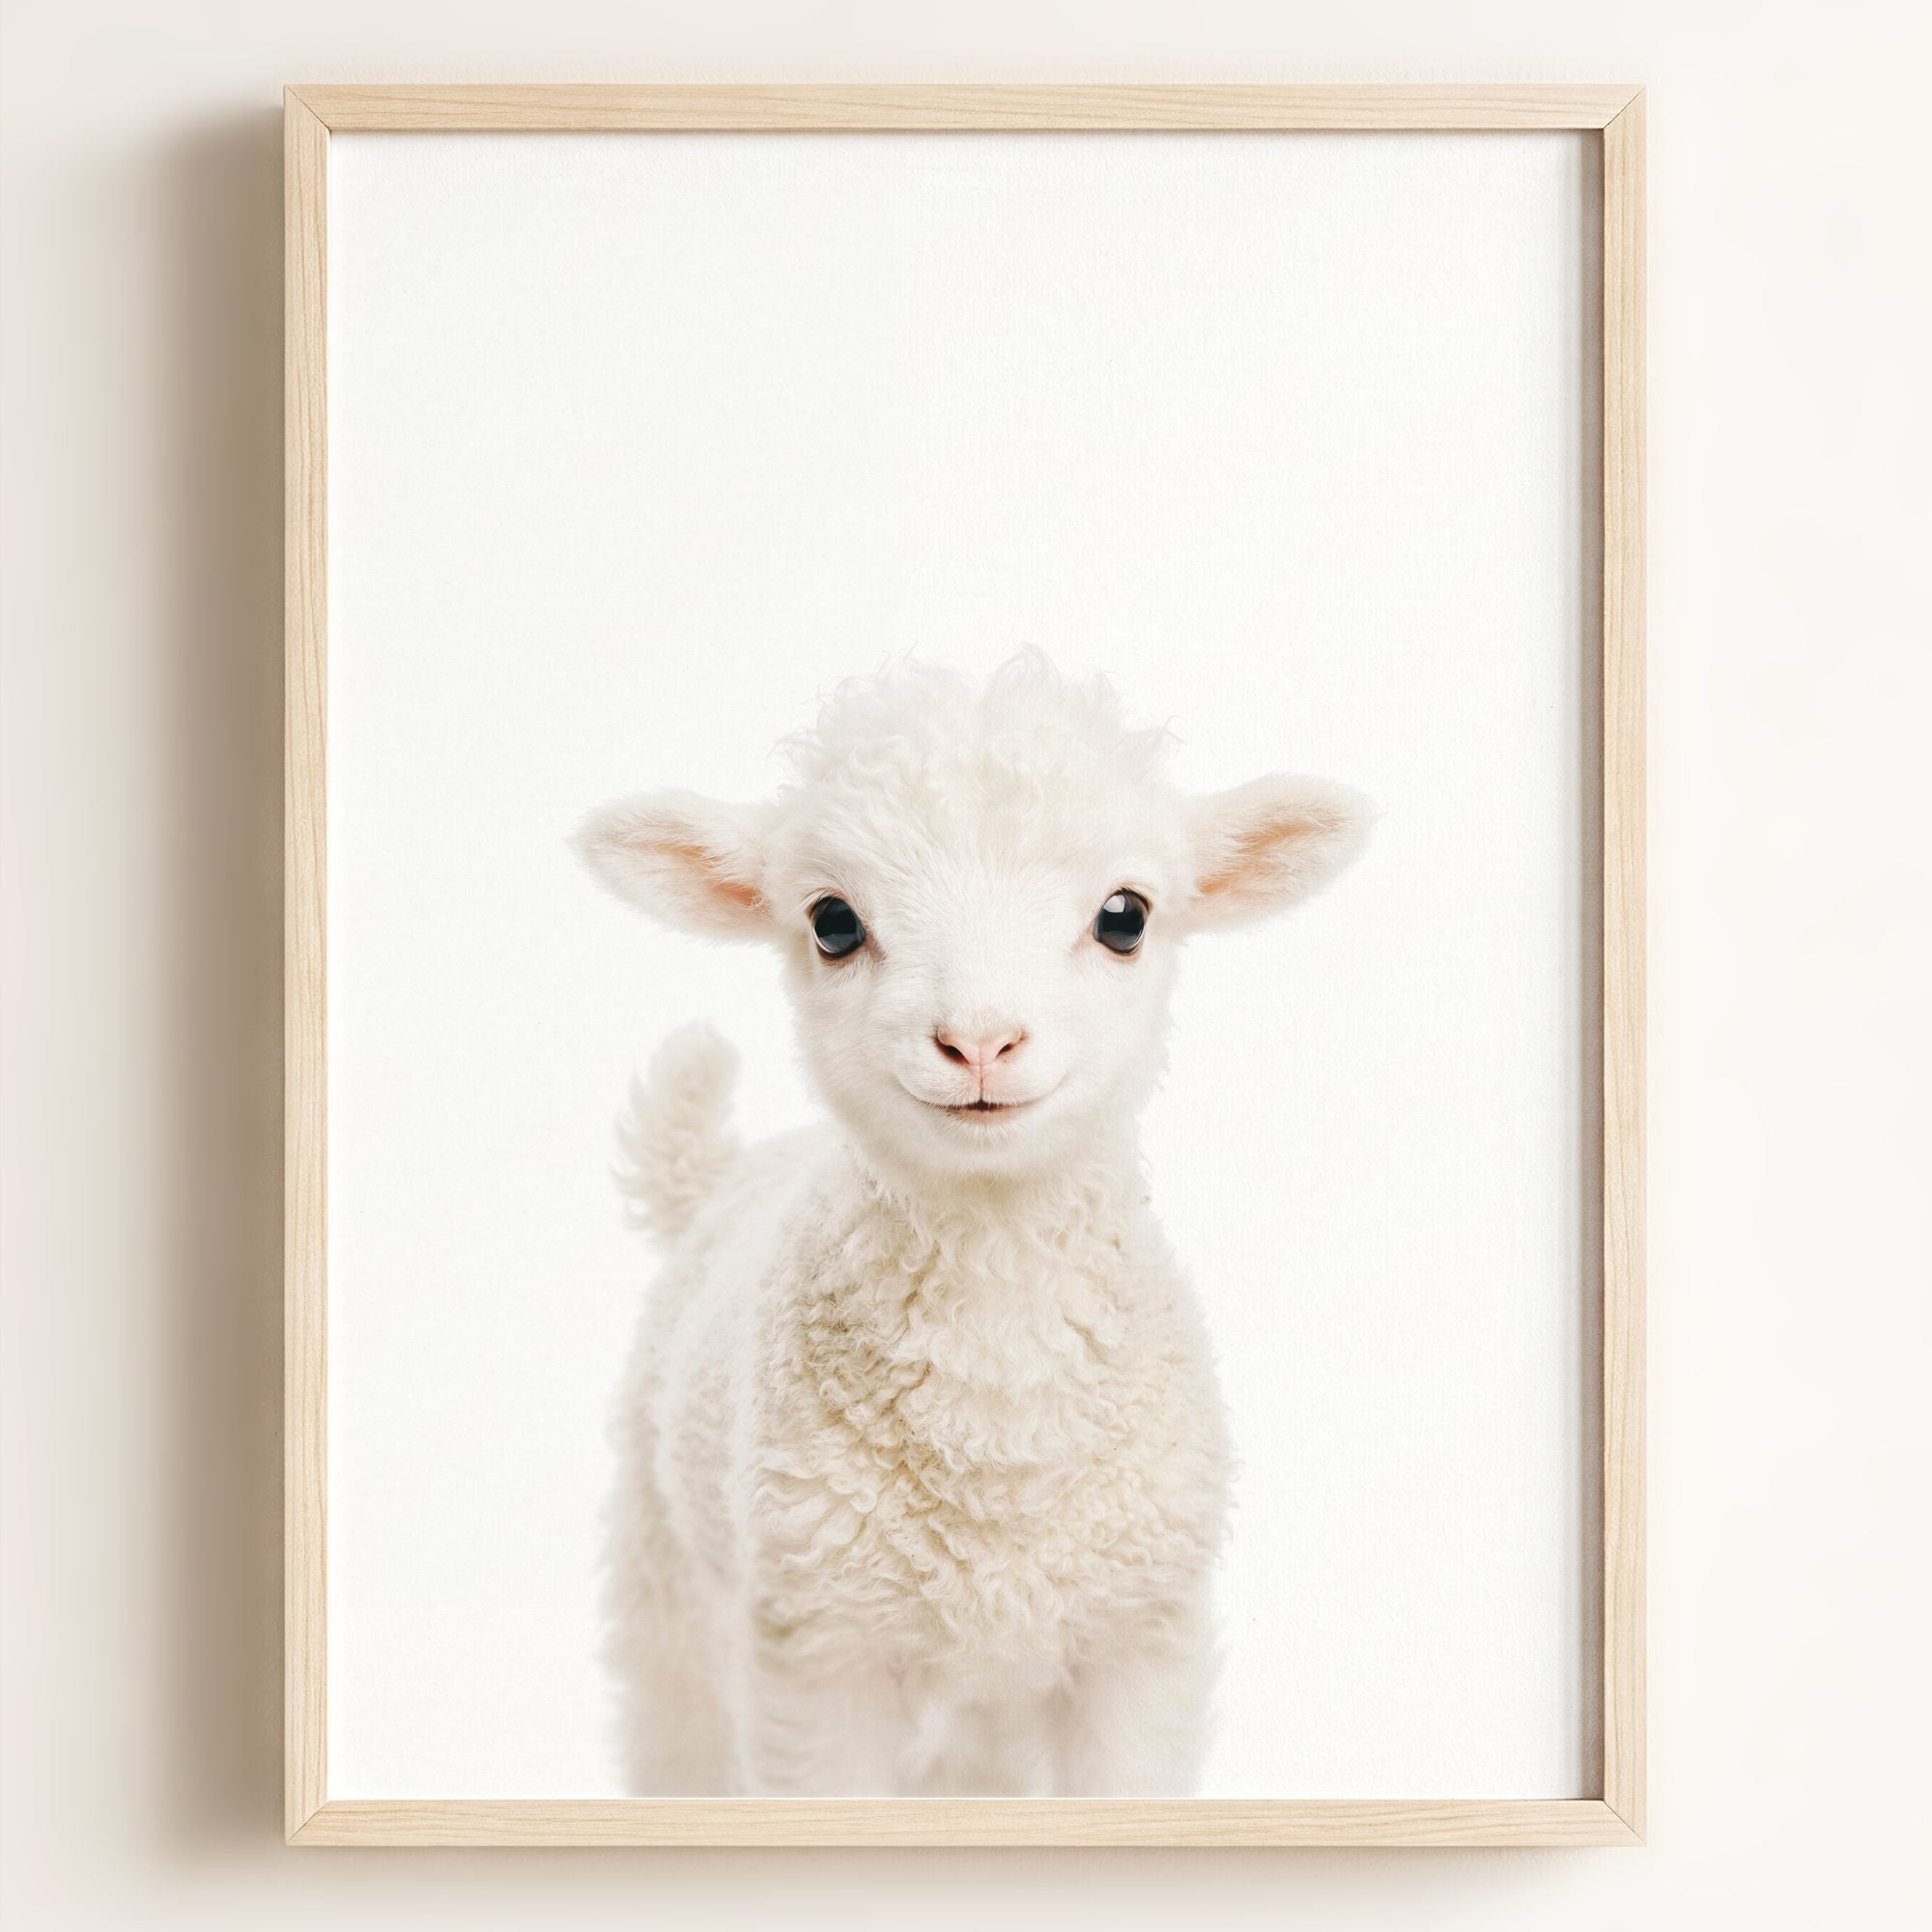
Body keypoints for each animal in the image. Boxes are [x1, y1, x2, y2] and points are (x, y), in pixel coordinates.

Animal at [575, 651, 1371, 1797]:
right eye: (832, 921)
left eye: (1125, 915)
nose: (980, 1040)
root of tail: (723, 1172)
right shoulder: (817, 1653)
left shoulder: (1138, 1639)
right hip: (668, 1578)